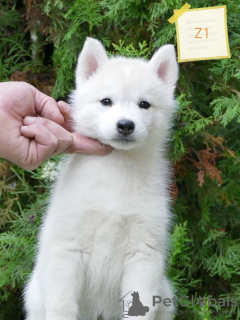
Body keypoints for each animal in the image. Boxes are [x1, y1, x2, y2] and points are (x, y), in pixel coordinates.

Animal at [23, 38, 178, 320]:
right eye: (106, 101)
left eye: (144, 104)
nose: (125, 125)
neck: (116, 167)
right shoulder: (68, 249)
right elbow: (62, 306)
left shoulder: (144, 254)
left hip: (166, 295)